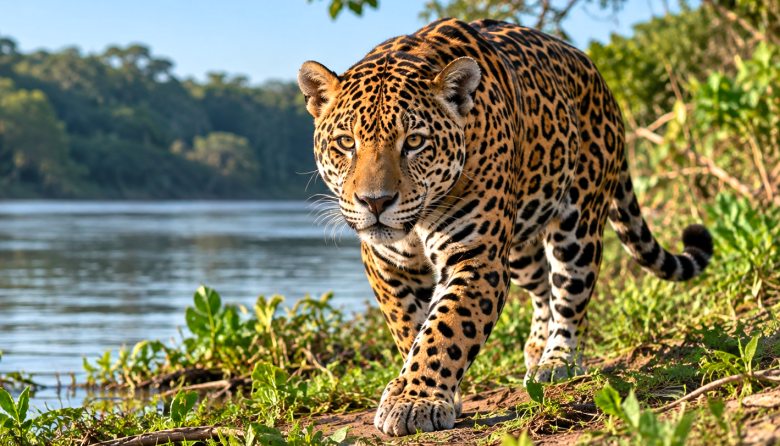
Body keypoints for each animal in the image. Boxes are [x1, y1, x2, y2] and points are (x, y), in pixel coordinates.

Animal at [297, 18, 713, 437]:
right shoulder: (388, 266)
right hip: (520, 247)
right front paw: (422, 389)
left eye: (414, 141)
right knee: (543, 285)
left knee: (570, 294)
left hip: (578, 224)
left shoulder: (477, 259)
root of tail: (598, 76)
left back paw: (556, 361)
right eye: (346, 142)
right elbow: (410, 328)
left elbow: (445, 329)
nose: (375, 202)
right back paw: (536, 347)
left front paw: (415, 399)